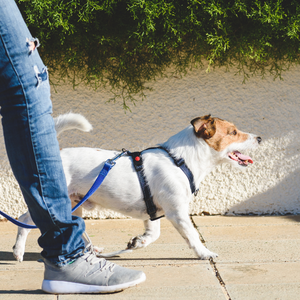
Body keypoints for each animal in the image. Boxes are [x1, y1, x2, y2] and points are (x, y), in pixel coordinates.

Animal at [12, 113, 260, 262]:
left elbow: (153, 234)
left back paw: (92, 250)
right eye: (233, 132)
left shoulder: (154, 213)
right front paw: (204, 253)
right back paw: (18, 251)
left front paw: (138, 242)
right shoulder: (177, 212)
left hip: (74, 204)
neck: (181, 160)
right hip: (54, 203)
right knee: (24, 220)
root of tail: (56, 156)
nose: (259, 138)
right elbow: (192, 236)